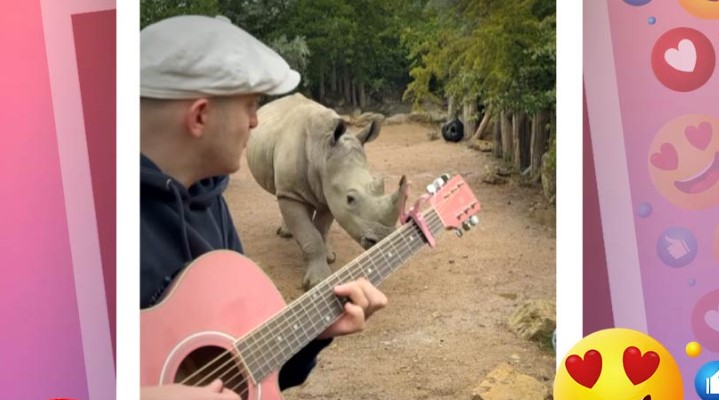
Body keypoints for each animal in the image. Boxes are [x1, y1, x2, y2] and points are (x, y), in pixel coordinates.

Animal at [246, 93, 407, 290]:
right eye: (350, 199)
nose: (383, 239)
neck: (321, 151)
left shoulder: (329, 194)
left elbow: (320, 230)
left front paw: (327, 258)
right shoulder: (295, 191)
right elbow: (311, 235)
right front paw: (317, 281)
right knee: (283, 195)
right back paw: (286, 233)